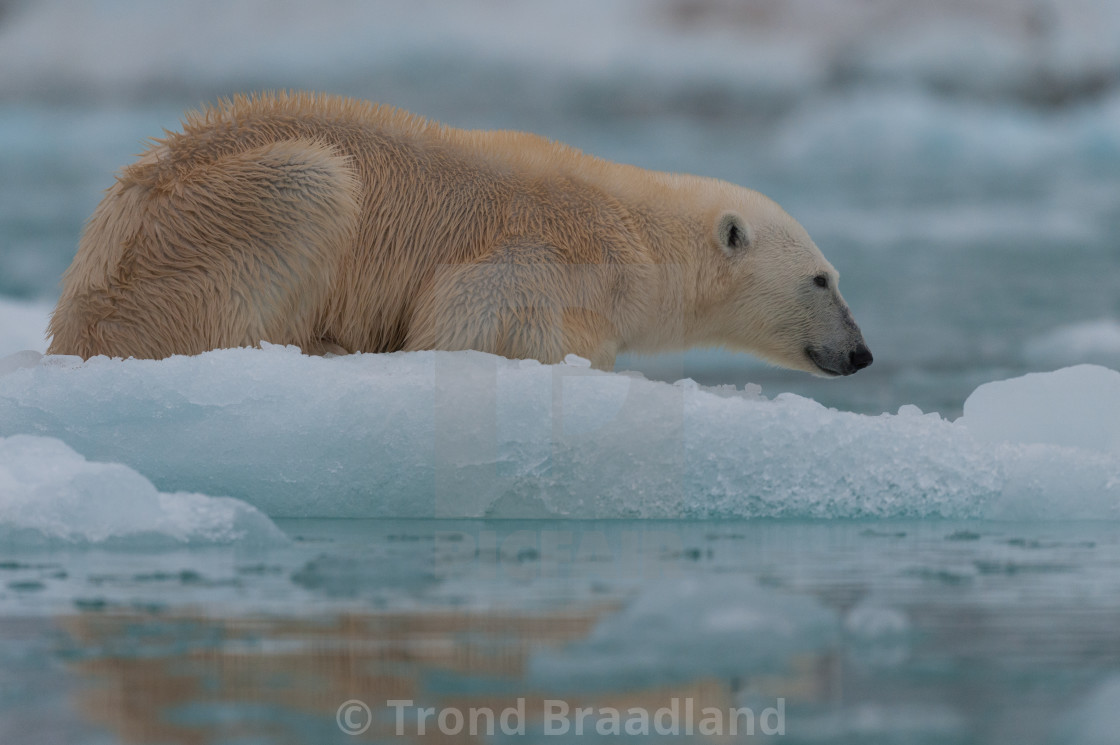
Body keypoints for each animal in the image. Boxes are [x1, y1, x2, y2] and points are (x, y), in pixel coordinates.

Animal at [48, 90, 869, 374]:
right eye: (823, 277)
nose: (860, 353)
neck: (635, 233)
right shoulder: (548, 256)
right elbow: (469, 320)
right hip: (202, 225)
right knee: (309, 185)